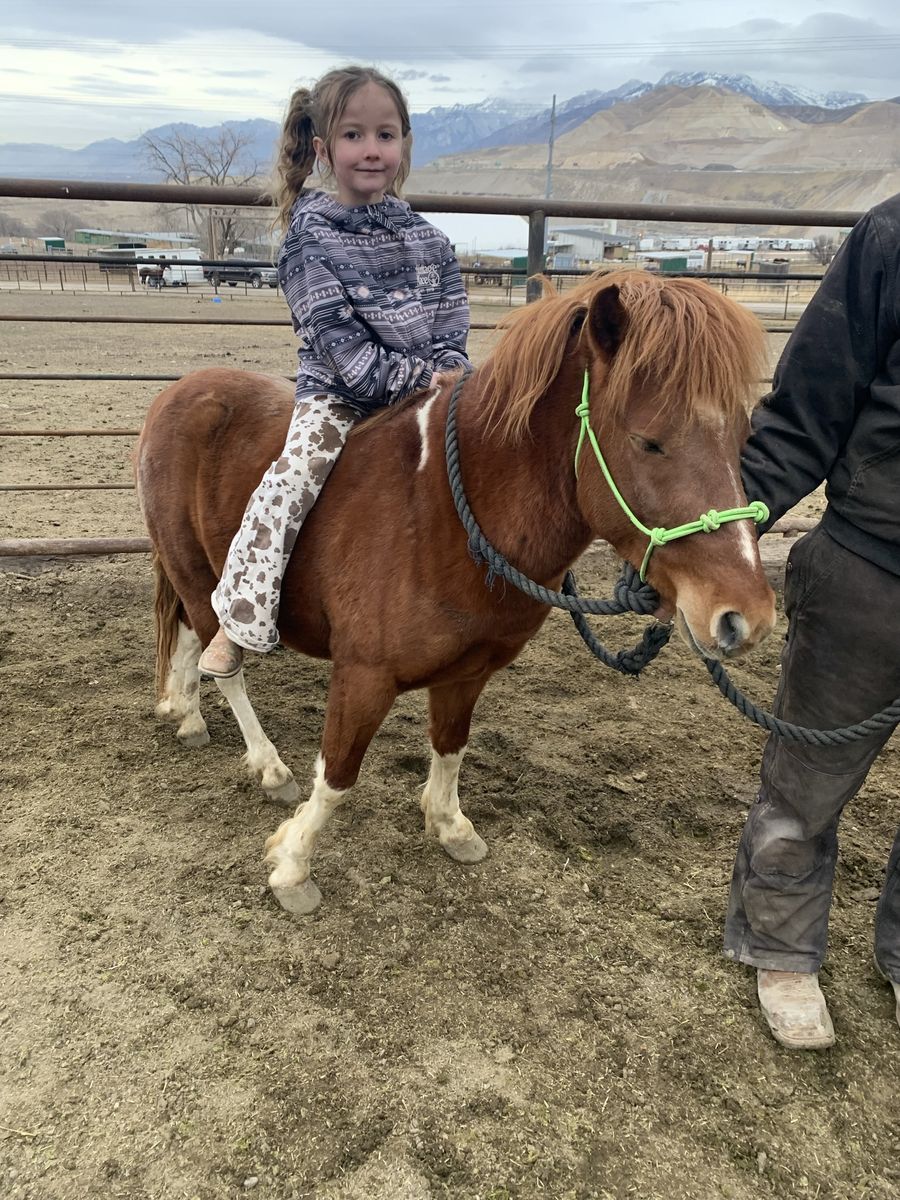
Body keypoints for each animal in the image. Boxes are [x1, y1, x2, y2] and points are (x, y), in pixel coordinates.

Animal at [136, 269, 776, 916]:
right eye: (649, 441)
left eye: (744, 435)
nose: (744, 618)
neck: (446, 514)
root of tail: (179, 392)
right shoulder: (363, 674)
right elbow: (338, 773)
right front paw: (292, 864)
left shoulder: (469, 670)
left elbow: (450, 746)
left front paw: (449, 825)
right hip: (195, 571)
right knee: (224, 661)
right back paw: (266, 765)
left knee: (187, 637)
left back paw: (184, 713)